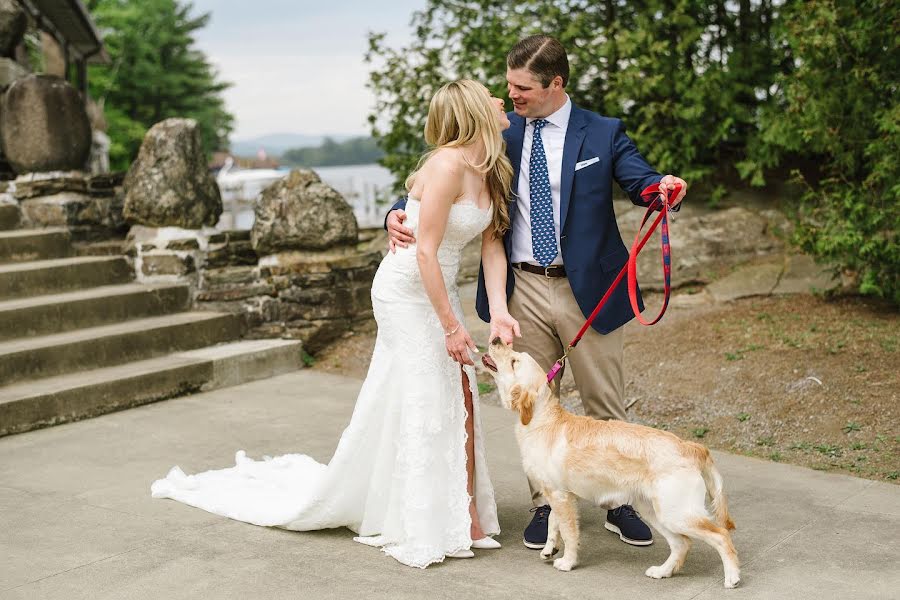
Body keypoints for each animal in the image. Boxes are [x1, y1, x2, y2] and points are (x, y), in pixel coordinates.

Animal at [482, 340, 740, 588]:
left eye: (514, 361)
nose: (496, 339)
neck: (543, 420)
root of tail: (691, 447)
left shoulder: (561, 496)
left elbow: (569, 532)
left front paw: (567, 561)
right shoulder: (558, 494)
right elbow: (553, 523)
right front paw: (549, 548)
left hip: (677, 512)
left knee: (720, 535)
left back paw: (732, 577)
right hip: (656, 511)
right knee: (682, 544)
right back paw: (662, 571)